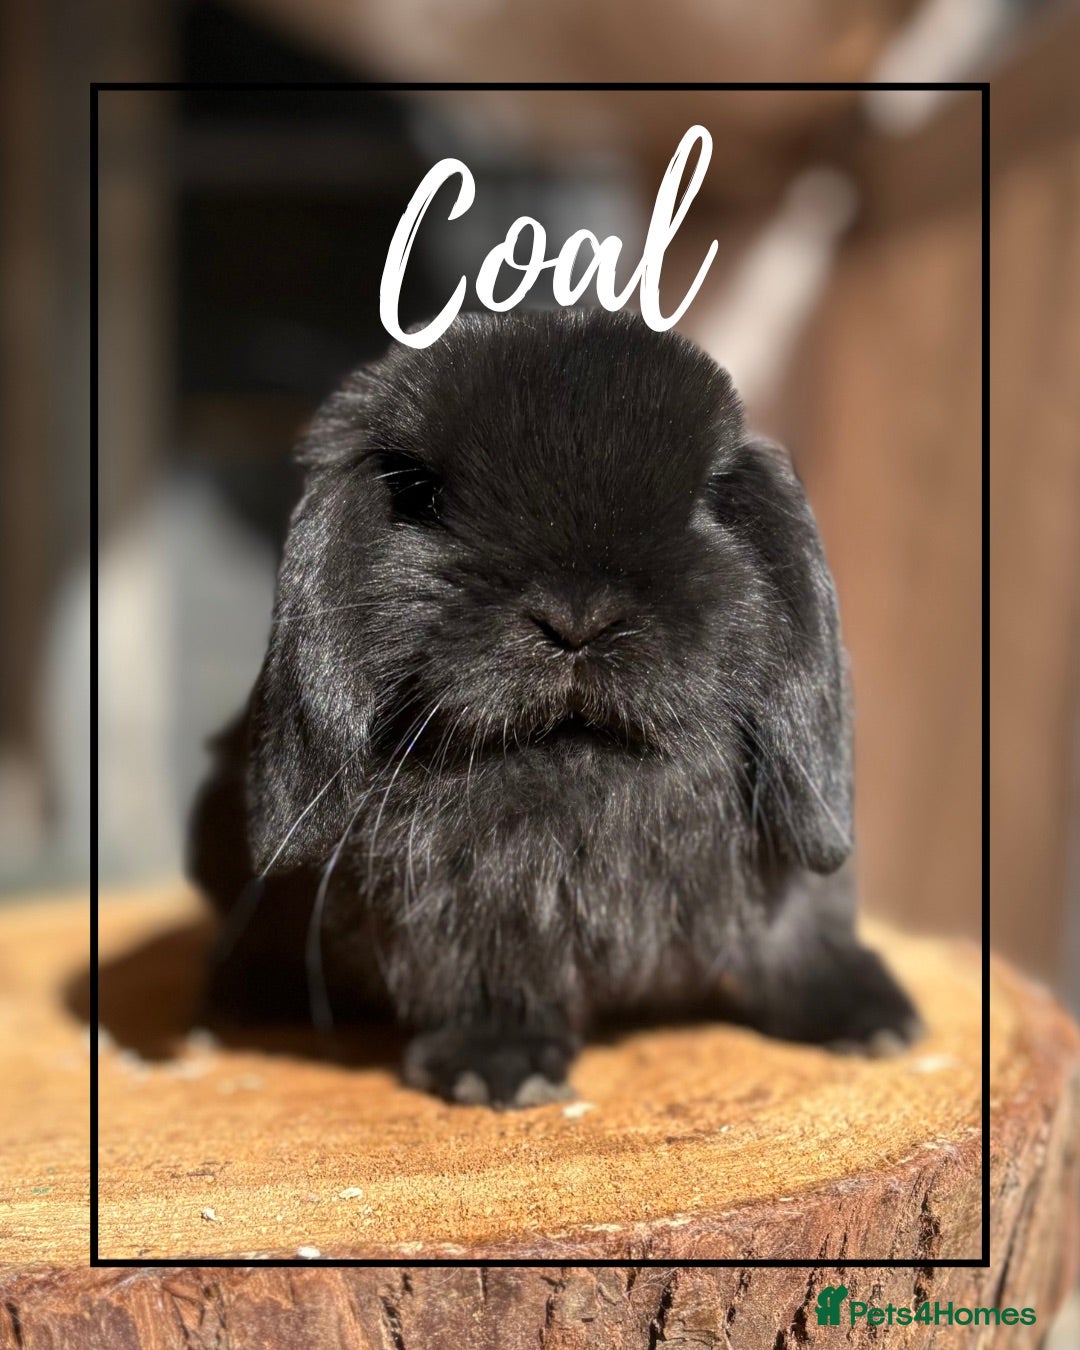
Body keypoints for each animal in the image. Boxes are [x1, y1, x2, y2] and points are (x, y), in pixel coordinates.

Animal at [188, 308, 922, 1109]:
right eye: (422, 495)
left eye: (706, 501)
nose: (578, 618)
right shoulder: (455, 913)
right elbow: (487, 984)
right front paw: (496, 1071)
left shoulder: (789, 870)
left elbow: (802, 938)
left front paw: (873, 1019)